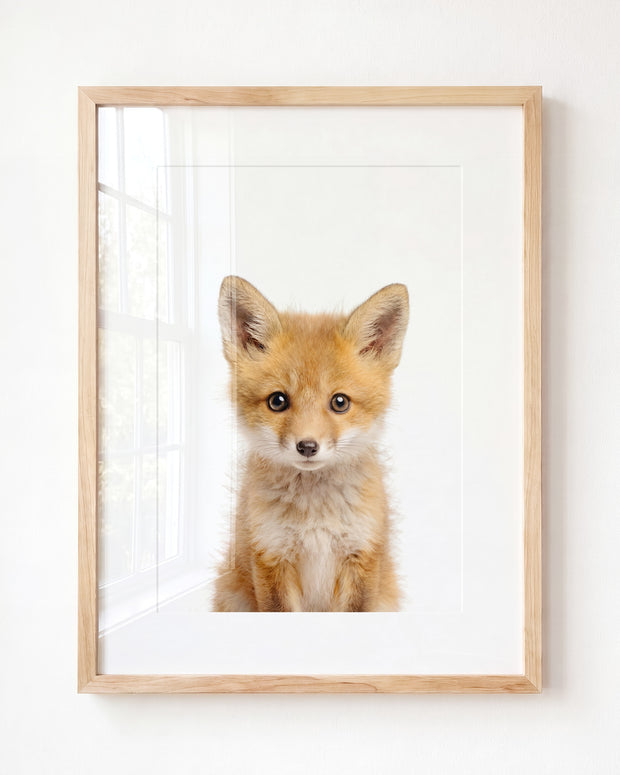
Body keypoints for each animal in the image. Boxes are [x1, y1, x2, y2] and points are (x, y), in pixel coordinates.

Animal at [212, 275, 409, 612]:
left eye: (340, 402)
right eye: (277, 401)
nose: (307, 446)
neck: (315, 517)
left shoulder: (361, 556)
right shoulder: (271, 556)